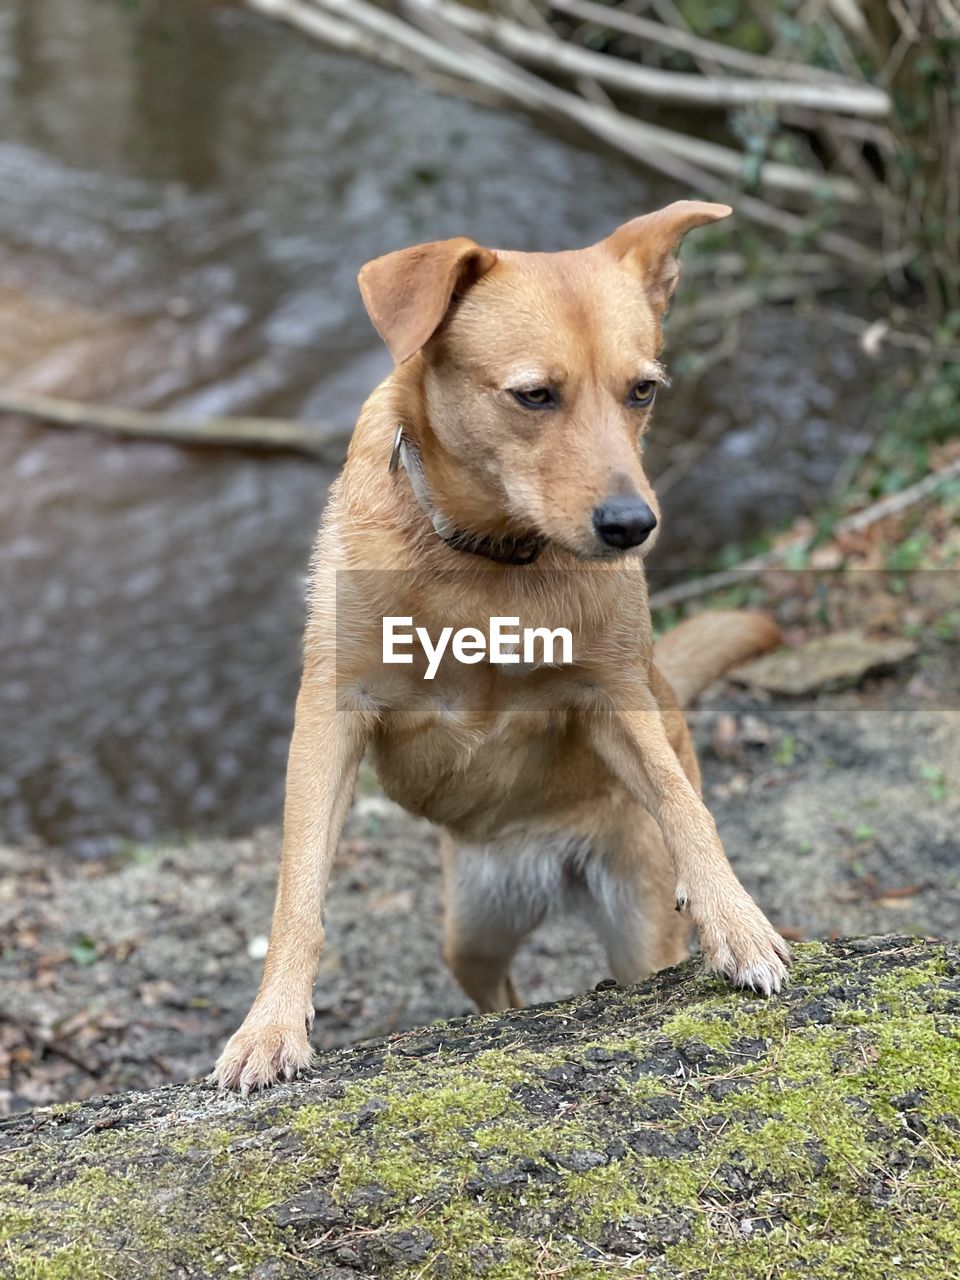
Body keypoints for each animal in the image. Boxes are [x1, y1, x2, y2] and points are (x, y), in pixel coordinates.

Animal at [216, 197, 788, 1090]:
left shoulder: (612, 697)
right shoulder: (333, 712)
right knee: (501, 994)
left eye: (642, 391)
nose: (632, 525)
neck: (485, 559)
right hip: (473, 931)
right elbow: (298, 890)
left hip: (635, 919)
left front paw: (737, 919)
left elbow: (684, 804)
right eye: (534, 395)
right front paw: (271, 1025)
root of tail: (551, 871)